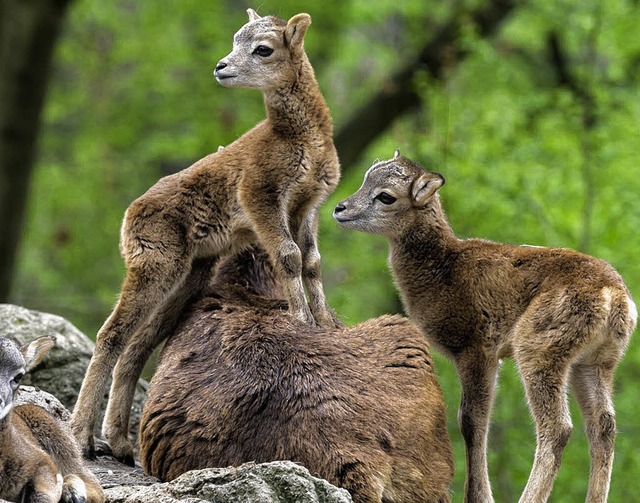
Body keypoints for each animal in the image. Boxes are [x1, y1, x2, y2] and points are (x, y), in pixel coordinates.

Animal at [70, 8, 342, 464]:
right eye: (235, 40)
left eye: (263, 48)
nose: (221, 67)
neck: (299, 137)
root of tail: (129, 218)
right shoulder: (261, 198)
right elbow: (287, 256)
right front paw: (302, 320)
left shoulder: (308, 206)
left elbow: (312, 262)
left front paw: (325, 323)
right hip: (155, 264)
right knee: (111, 334)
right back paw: (83, 439)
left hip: (190, 273)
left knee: (138, 343)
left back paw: (122, 444)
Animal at [332, 151, 636, 503]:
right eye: (365, 178)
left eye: (386, 196)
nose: (340, 209)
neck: (443, 270)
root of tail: (614, 298)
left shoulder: (476, 346)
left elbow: (471, 420)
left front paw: (478, 495)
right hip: (596, 362)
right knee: (604, 426)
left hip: (539, 348)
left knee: (558, 427)